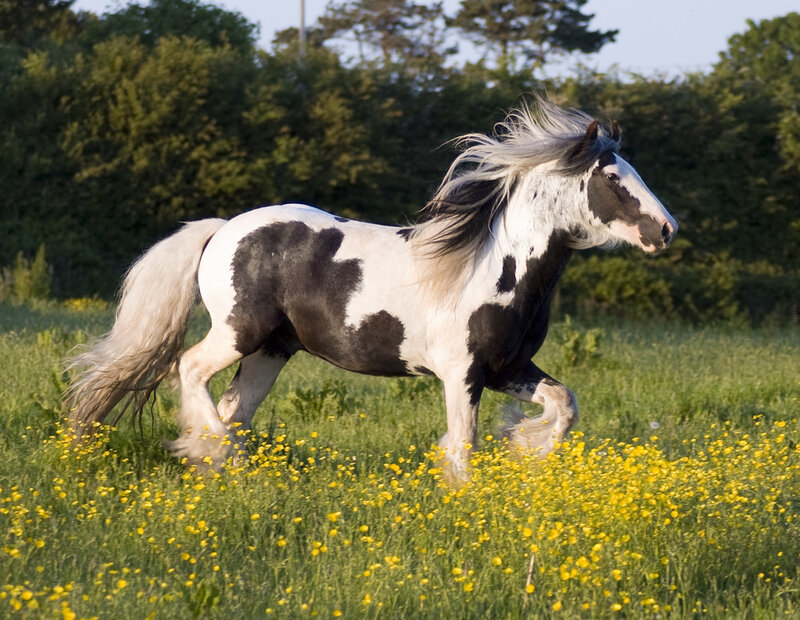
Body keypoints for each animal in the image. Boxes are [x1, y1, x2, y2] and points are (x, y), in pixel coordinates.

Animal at [66, 98, 677, 482]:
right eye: (612, 178)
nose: (667, 229)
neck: (494, 269)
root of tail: (221, 229)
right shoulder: (462, 374)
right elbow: (463, 445)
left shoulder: (508, 370)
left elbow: (564, 405)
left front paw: (526, 451)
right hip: (239, 332)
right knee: (189, 370)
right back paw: (218, 457)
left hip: (271, 350)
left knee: (234, 407)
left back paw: (221, 466)